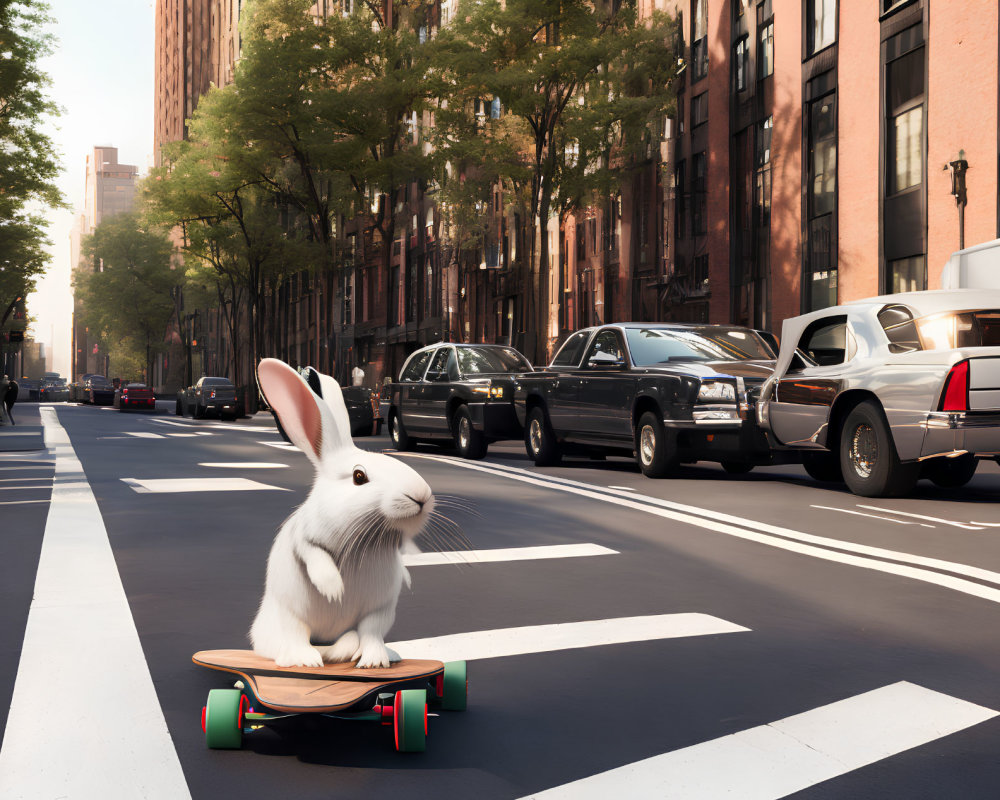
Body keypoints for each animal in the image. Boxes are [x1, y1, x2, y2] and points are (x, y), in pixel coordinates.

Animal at [250, 358, 434, 668]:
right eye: (359, 476)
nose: (421, 496)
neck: (370, 537)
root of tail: (325, 641)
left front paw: (408, 577)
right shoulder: (304, 536)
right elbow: (313, 553)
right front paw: (334, 589)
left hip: (380, 611)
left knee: (369, 635)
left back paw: (378, 659)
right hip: (290, 615)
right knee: (297, 636)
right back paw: (305, 660)